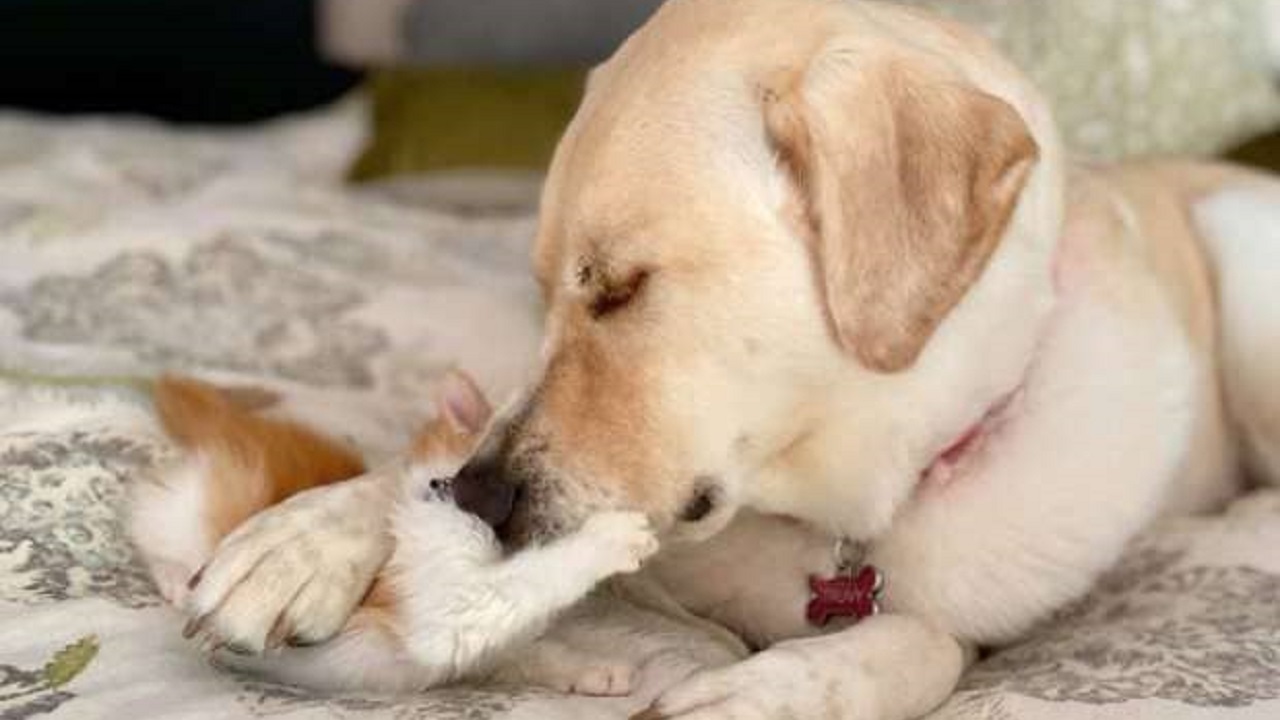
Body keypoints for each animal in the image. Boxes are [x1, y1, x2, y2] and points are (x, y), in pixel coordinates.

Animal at [177, 0, 1280, 712]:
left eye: (621, 287)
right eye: (541, 290)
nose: (479, 502)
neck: (829, 520)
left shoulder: (967, 619)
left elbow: (919, 639)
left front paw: (763, 690)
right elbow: (413, 465)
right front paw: (307, 536)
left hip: (1245, 266)